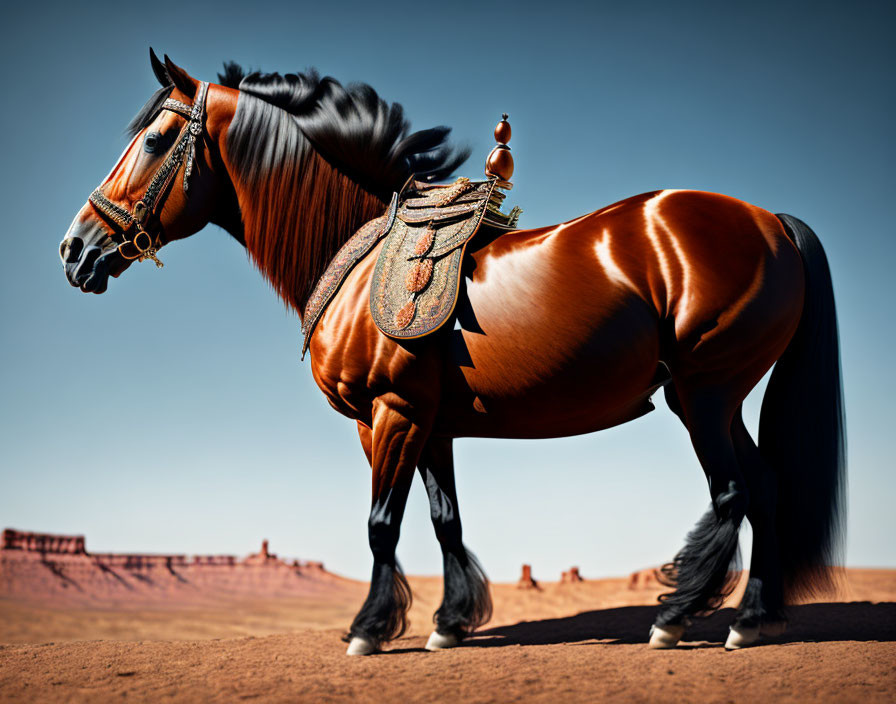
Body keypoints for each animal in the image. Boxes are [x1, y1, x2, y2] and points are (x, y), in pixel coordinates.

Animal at [61, 52, 848, 656]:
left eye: (157, 140)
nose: (76, 250)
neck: (357, 258)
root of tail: (771, 221)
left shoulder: (387, 413)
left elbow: (381, 524)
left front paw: (370, 629)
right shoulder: (432, 423)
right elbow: (446, 521)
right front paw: (449, 623)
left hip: (704, 393)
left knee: (732, 492)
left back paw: (677, 616)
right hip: (713, 396)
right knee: (766, 487)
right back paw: (751, 619)